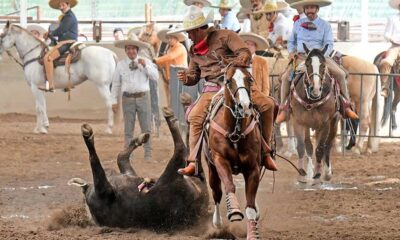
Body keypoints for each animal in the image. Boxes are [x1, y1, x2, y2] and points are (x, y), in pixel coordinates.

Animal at [208, 66, 264, 240]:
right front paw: (234, 210)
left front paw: (252, 233)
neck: (235, 130)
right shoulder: (220, 160)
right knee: (216, 192)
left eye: (249, 79)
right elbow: (229, 185)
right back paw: (217, 222)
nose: (244, 105)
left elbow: (250, 206)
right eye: (228, 81)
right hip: (212, 170)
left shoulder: (253, 168)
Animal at [290, 44, 340, 182]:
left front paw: (318, 174)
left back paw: (326, 172)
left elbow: (320, 148)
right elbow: (301, 146)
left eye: (323, 65)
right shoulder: (298, 122)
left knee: (328, 145)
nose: (315, 89)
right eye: (307, 64)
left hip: (334, 122)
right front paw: (302, 173)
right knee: (308, 145)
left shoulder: (325, 124)